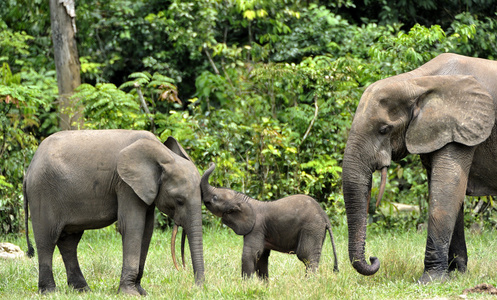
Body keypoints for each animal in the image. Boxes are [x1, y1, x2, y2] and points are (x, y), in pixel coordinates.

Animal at [24, 129, 203, 296]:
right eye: (179, 200)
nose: (196, 287)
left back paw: (83, 290)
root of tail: (29, 169)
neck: (163, 154)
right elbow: (132, 226)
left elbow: (147, 230)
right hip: (43, 192)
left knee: (69, 241)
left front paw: (141, 291)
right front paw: (130, 293)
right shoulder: (125, 185)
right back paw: (49, 292)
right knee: (47, 239)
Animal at [201, 163, 338, 280]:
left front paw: (246, 286)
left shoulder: (256, 228)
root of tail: (324, 216)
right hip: (317, 230)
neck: (245, 200)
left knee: (307, 257)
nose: (212, 163)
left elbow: (250, 255)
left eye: (215, 198)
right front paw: (264, 286)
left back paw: (308, 283)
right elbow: (261, 258)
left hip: (311, 228)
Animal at [342, 53, 497, 284]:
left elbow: (447, 190)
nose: (373, 258)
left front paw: (431, 280)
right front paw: (456, 274)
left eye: (384, 129)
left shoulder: (459, 126)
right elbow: (447, 193)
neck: (416, 81)